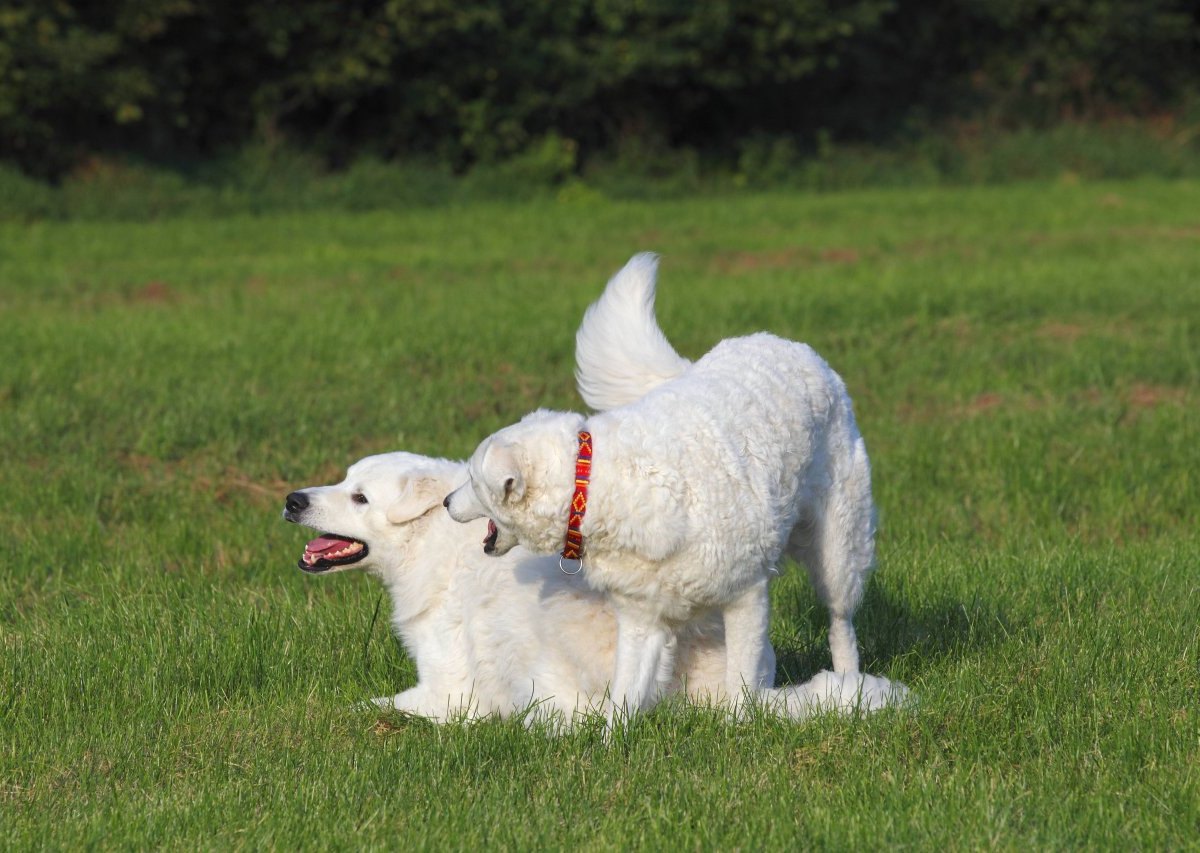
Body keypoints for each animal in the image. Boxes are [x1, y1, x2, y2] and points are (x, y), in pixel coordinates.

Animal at [283, 451, 902, 724]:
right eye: (342, 481)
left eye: (360, 498)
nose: (293, 499)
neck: (436, 542)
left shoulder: (450, 691)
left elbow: (369, 706)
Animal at [446, 253, 878, 719]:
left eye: (472, 479)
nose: (446, 501)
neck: (594, 482)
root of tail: (789, 345)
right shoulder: (643, 620)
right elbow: (623, 698)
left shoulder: (746, 597)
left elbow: (741, 686)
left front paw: (740, 724)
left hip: (839, 551)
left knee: (840, 622)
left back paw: (850, 684)